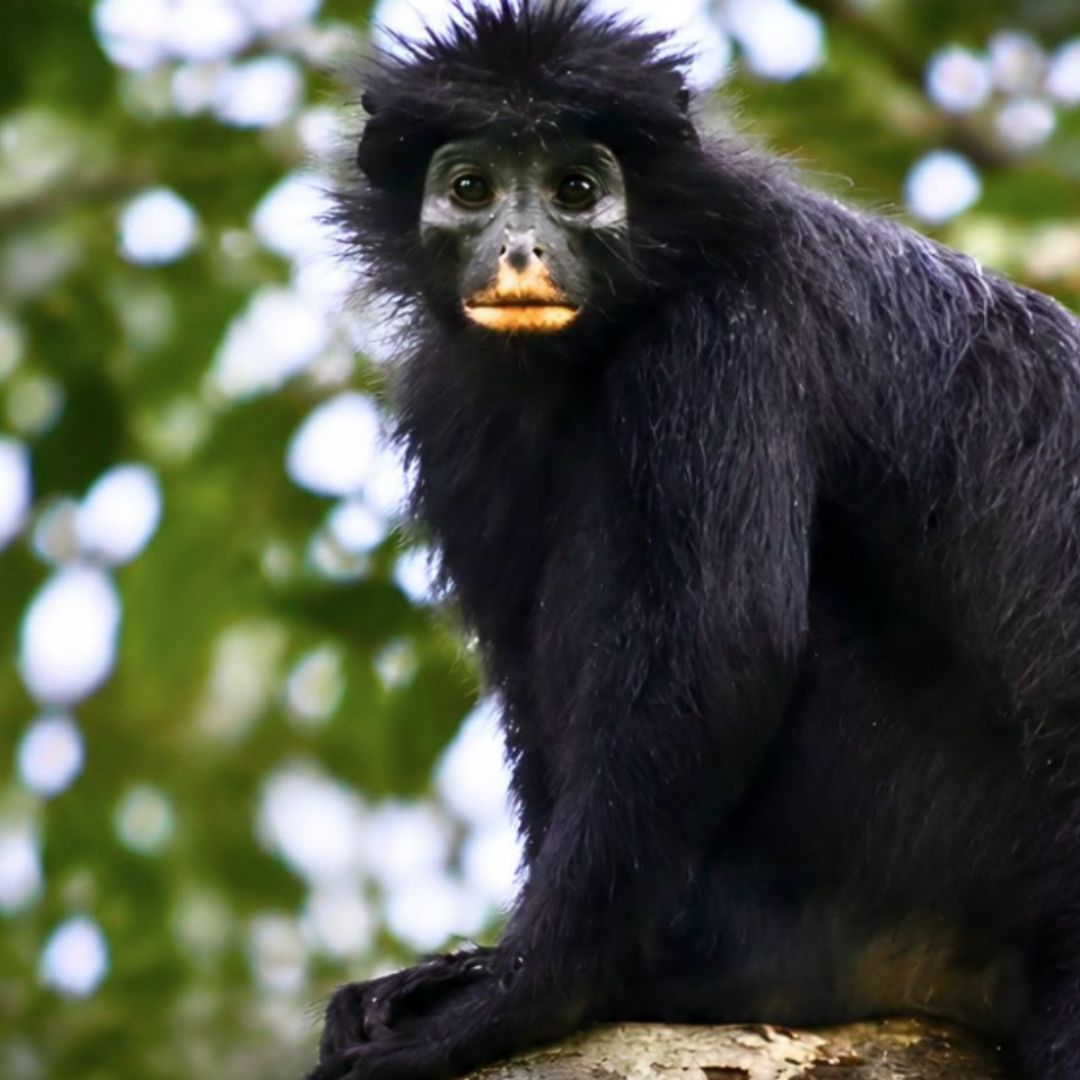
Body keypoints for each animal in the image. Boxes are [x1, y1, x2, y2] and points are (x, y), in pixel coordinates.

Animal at [308, 2, 1080, 1077]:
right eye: (470, 190)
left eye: (576, 190)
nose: (519, 250)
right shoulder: (448, 402)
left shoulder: (718, 336)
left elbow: (720, 650)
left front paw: (521, 992)